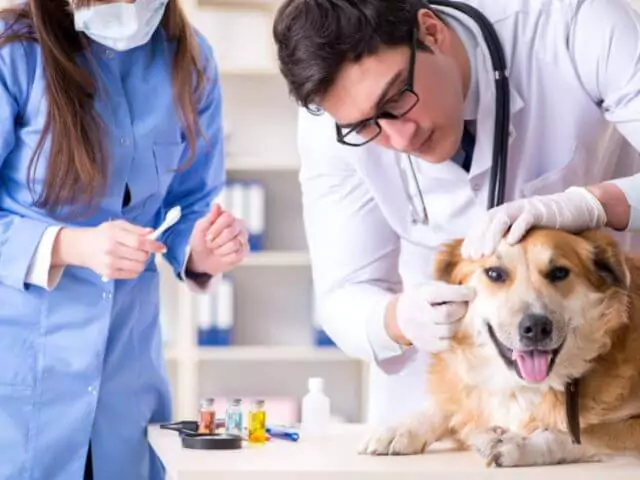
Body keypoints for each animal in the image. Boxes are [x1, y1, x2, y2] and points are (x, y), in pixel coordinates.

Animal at [360, 229, 640, 464]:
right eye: (494, 273)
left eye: (559, 273)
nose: (536, 327)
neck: (524, 387)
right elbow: (448, 403)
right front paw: (400, 428)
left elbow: (578, 435)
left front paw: (521, 443)